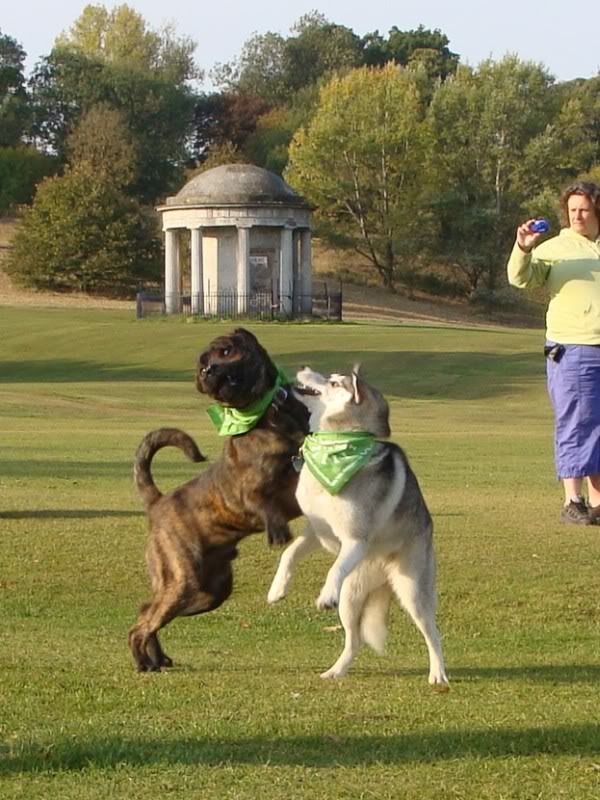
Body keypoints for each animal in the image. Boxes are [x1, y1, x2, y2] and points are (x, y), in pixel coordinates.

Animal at [127, 328, 310, 672]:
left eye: (225, 351)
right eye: (201, 365)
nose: (207, 371)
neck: (266, 413)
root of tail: (158, 502)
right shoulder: (247, 488)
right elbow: (262, 502)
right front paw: (278, 532)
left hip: (208, 591)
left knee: (147, 610)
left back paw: (158, 658)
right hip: (183, 580)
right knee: (142, 623)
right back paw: (143, 662)